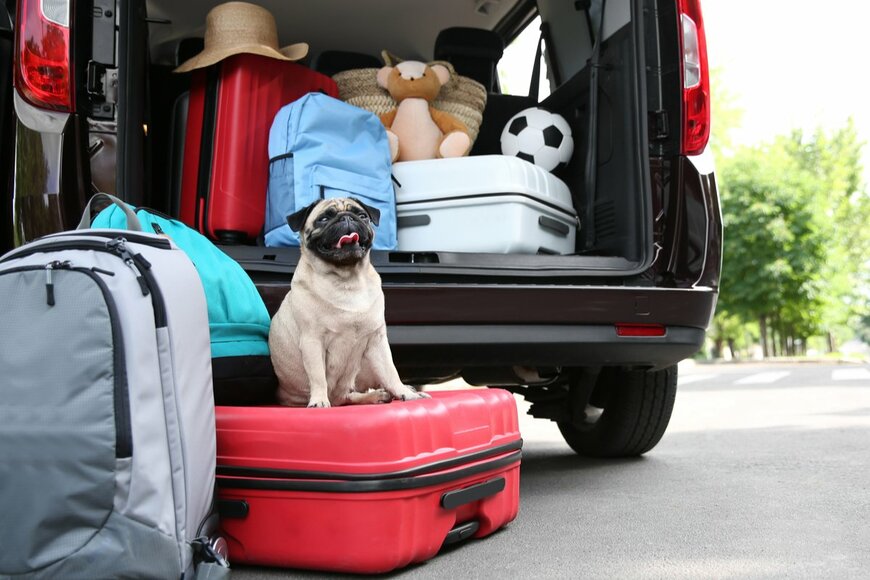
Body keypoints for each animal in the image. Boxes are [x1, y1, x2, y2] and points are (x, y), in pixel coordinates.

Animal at [268, 197, 428, 406]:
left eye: (361, 215)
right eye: (324, 218)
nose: (346, 217)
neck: (347, 280)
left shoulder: (377, 341)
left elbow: (391, 372)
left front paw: (405, 393)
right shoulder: (312, 341)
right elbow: (318, 376)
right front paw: (319, 401)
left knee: (348, 395)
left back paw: (379, 395)